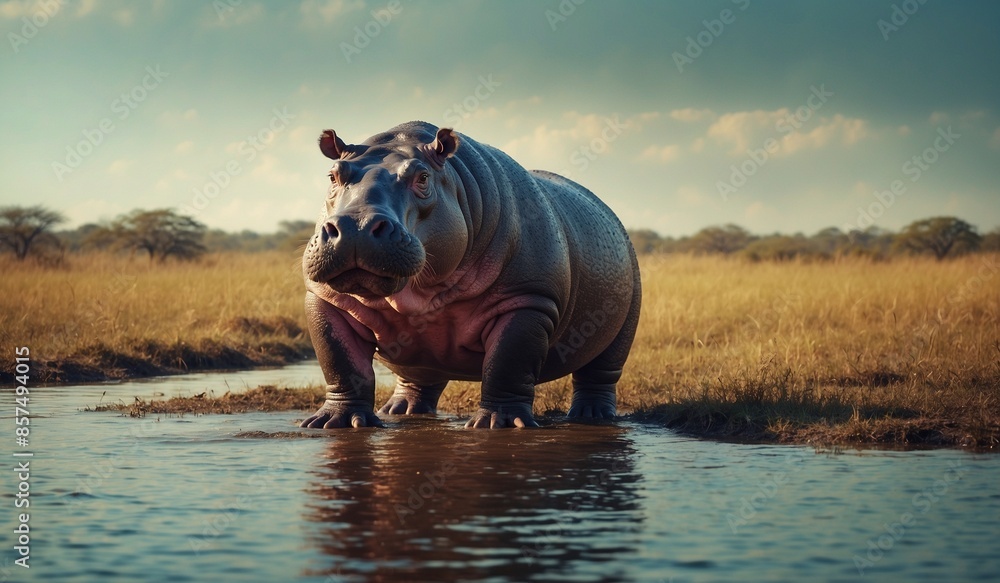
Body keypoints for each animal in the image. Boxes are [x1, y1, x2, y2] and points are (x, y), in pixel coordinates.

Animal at [299, 121, 640, 429]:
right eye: (333, 175)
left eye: (423, 177)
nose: (355, 227)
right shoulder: (327, 300)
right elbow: (341, 363)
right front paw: (333, 422)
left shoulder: (528, 301)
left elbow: (506, 362)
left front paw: (499, 424)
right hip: (422, 355)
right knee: (418, 377)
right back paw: (399, 411)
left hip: (624, 317)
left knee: (599, 372)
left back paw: (592, 416)